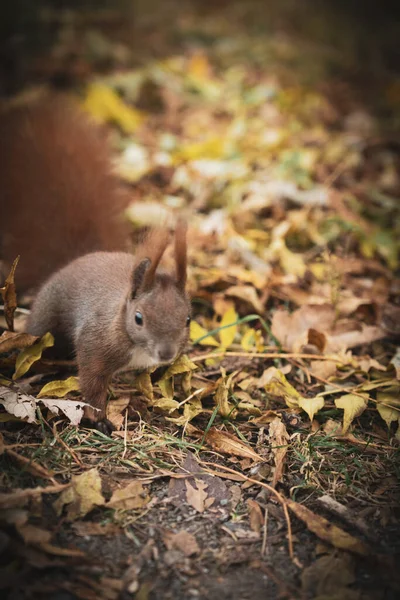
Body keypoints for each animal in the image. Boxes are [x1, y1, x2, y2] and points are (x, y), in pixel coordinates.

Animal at [0, 94, 191, 428]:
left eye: (188, 320)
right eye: (138, 318)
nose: (166, 353)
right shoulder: (95, 344)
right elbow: (91, 382)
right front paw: (99, 418)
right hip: (46, 320)